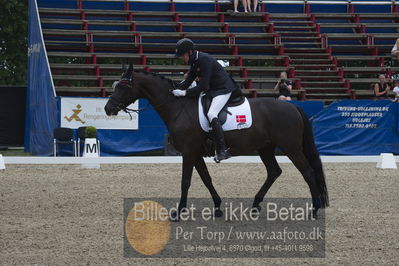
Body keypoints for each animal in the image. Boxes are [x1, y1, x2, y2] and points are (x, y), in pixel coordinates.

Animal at [104, 64, 330, 218]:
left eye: (123, 87)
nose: (108, 108)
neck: (178, 107)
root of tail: (293, 106)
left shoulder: (188, 151)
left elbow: (185, 181)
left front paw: (179, 212)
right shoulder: (195, 152)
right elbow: (206, 178)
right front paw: (218, 207)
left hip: (291, 147)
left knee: (308, 172)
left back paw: (314, 210)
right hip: (265, 148)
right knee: (274, 172)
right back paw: (255, 204)